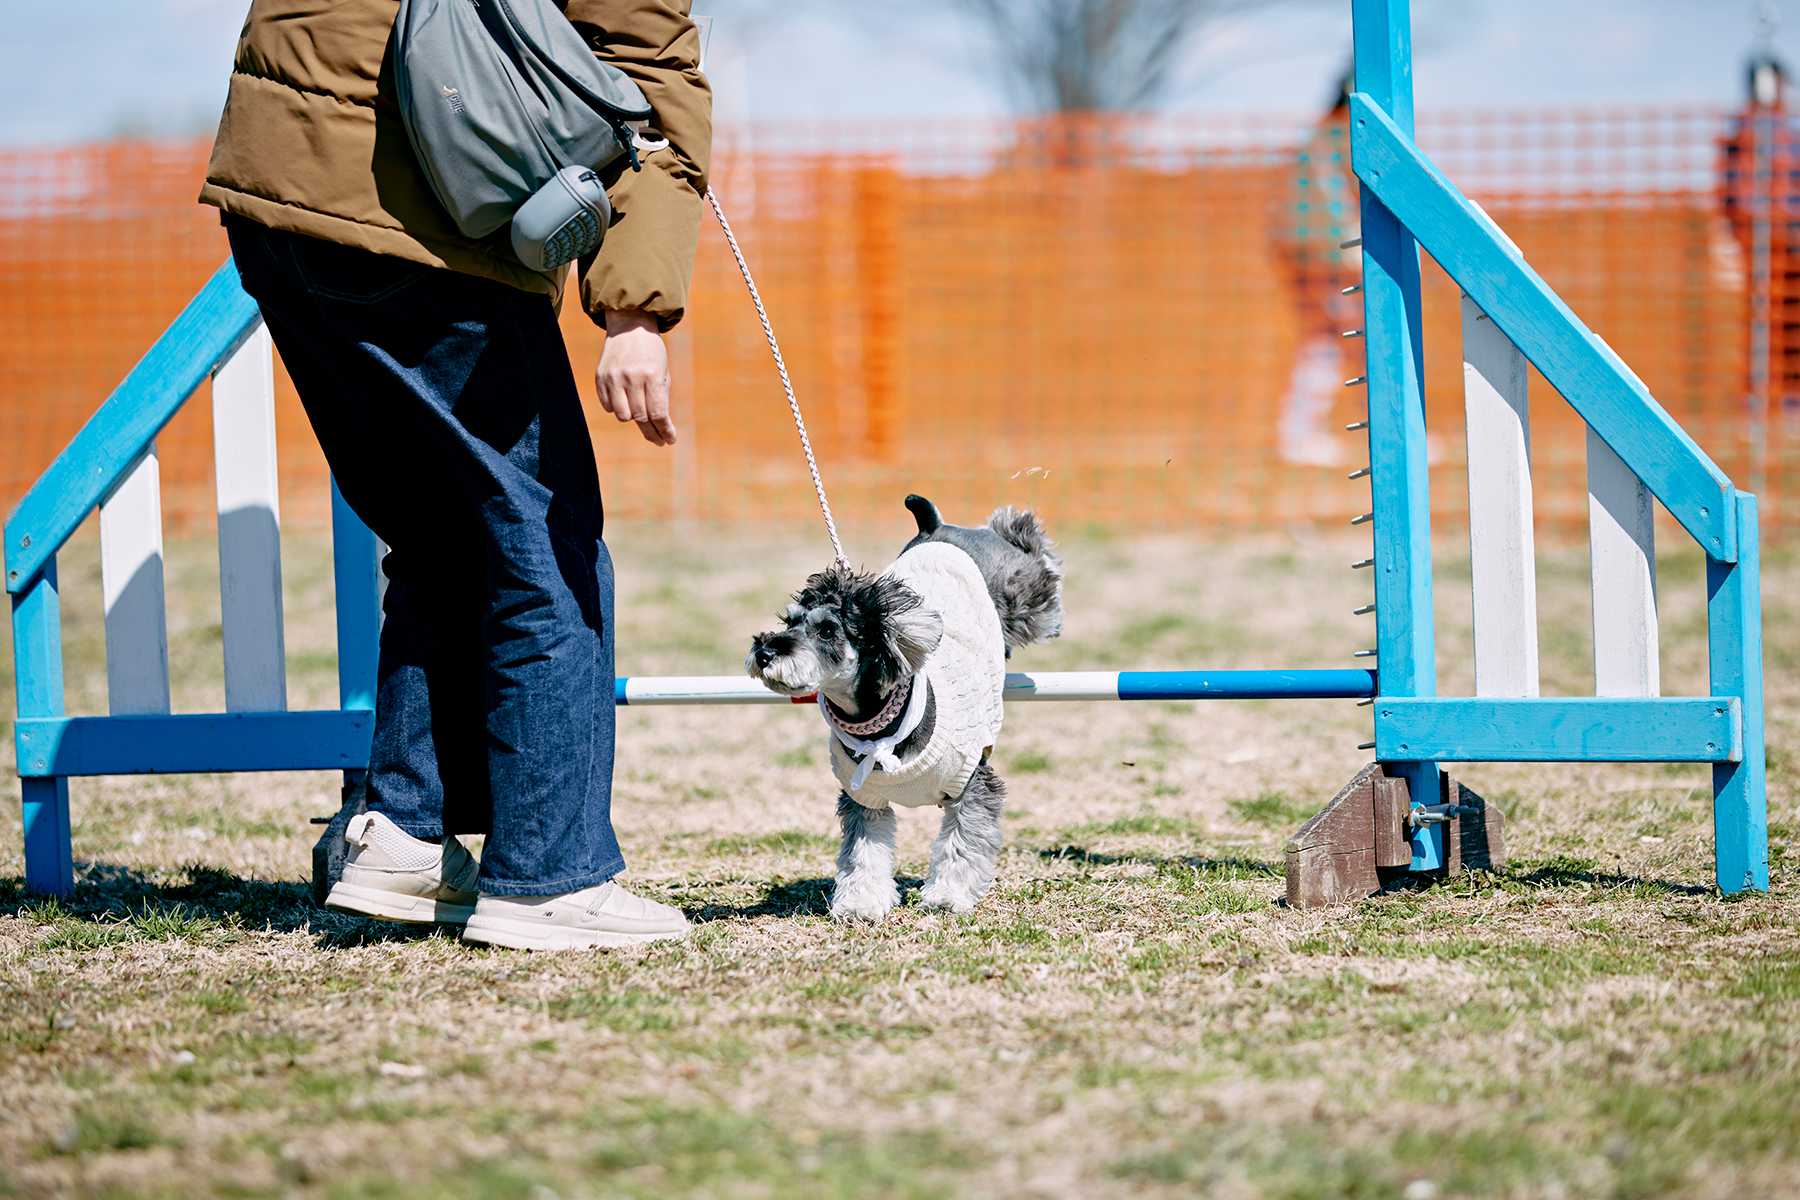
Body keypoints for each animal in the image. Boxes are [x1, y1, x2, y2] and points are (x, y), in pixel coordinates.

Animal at [741, 492, 1058, 928]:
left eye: (827, 630)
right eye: (789, 622)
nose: (764, 651)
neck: (878, 728)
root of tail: (936, 528)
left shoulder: (973, 783)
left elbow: (962, 844)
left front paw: (947, 897)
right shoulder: (863, 799)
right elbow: (863, 854)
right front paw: (860, 904)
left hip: (1020, 591)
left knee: (1027, 547)